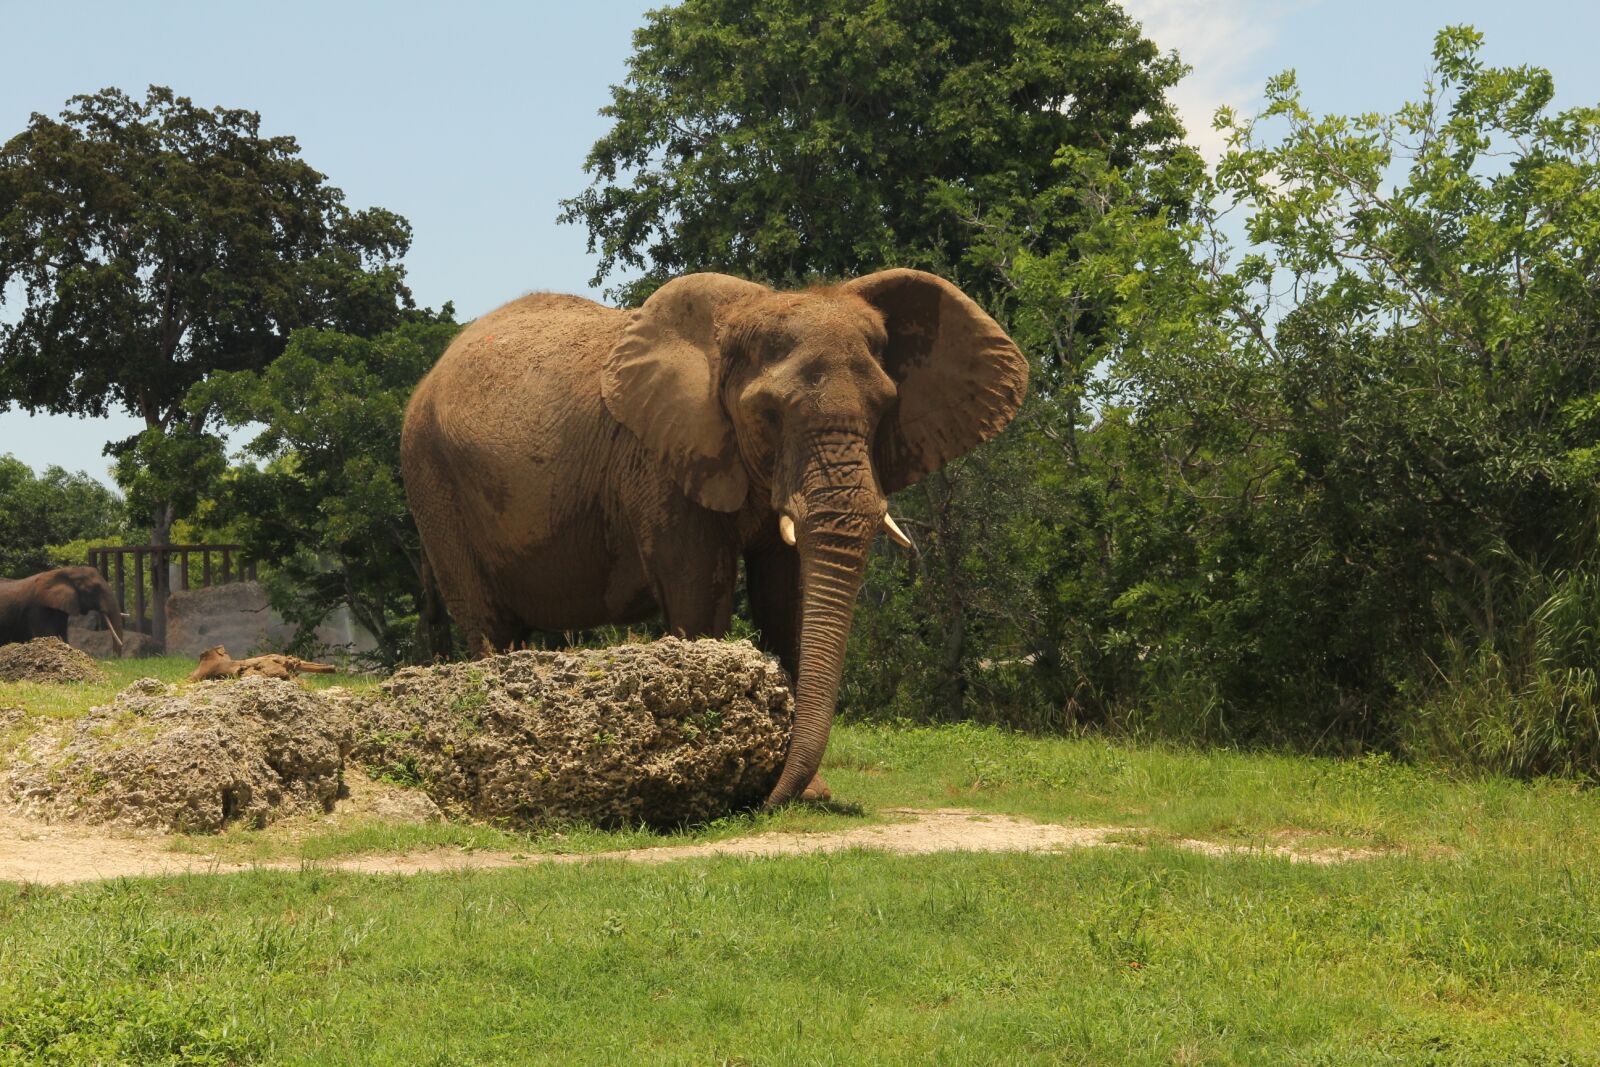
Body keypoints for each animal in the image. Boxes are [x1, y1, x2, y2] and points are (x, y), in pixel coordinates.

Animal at [401, 269, 1027, 805]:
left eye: (885, 408)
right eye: (768, 414)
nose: (771, 801)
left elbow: (786, 599)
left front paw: (804, 792)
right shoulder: (661, 462)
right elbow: (700, 592)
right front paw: (717, 775)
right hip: (431, 480)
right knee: (488, 623)